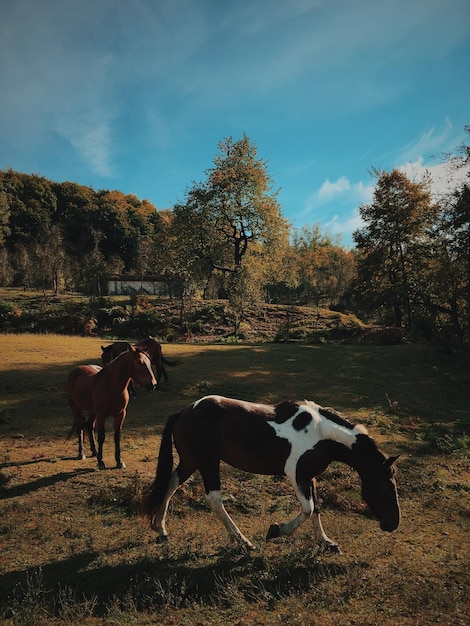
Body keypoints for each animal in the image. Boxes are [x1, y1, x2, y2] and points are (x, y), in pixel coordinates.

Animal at [141, 394, 398, 552]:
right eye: (388, 485)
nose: (393, 524)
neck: (321, 433)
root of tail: (183, 411)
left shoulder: (310, 476)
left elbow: (316, 508)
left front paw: (325, 542)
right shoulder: (296, 475)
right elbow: (308, 509)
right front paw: (276, 530)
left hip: (191, 461)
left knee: (171, 483)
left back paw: (161, 529)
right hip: (207, 462)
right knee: (214, 499)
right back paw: (243, 542)